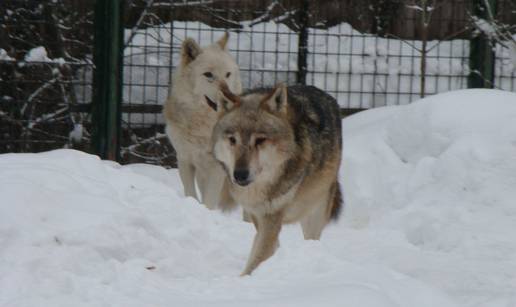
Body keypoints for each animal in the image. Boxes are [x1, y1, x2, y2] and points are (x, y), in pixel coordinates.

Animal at [163, 33, 242, 211]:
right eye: (208, 75)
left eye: (227, 74)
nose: (231, 96)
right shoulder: (185, 160)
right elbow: (191, 194)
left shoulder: (217, 168)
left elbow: (209, 202)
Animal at [211, 83, 342, 276]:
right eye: (232, 139)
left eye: (260, 140)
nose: (239, 174)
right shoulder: (256, 213)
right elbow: (262, 249)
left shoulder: (271, 216)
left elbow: (256, 259)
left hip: (315, 212)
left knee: (312, 239)